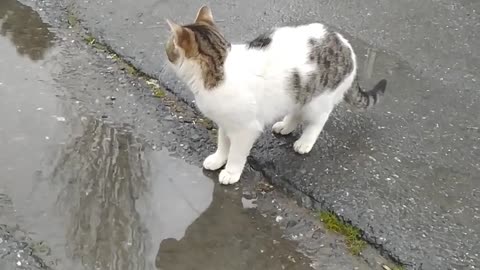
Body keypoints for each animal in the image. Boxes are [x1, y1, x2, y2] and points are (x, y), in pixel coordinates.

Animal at [165, 5, 386, 185]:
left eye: (169, 46)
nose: (165, 51)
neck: (219, 67)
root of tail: (346, 45)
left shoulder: (246, 128)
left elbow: (236, 153)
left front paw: (231, 171)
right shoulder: (225, 122)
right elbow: (223, 142)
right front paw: (219, 158)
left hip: (318, 101)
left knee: (318, 120)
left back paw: (305, 141)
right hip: (298, 91)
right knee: (296, 111)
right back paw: (286, 126)